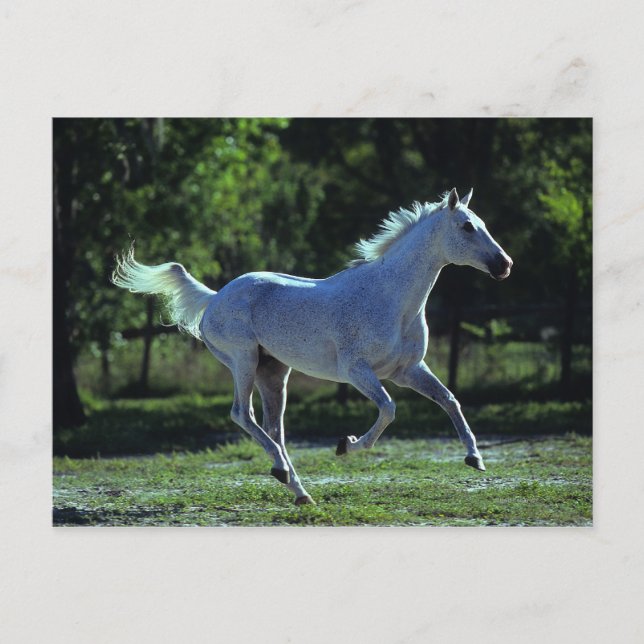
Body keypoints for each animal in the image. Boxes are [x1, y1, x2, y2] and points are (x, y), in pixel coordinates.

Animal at [112, 187, 513, 505]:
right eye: (467, 226)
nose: (505, 265)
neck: (391, 297)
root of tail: (214, 299)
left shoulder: (407, 370)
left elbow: (449, 400)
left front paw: (475, 459)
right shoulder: (357, 371)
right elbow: (389, 409)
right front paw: (346, 445)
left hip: (273, 373)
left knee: (274, 429)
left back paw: (299, 490)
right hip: (243, 361)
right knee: (243, 415)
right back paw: (283, 473)